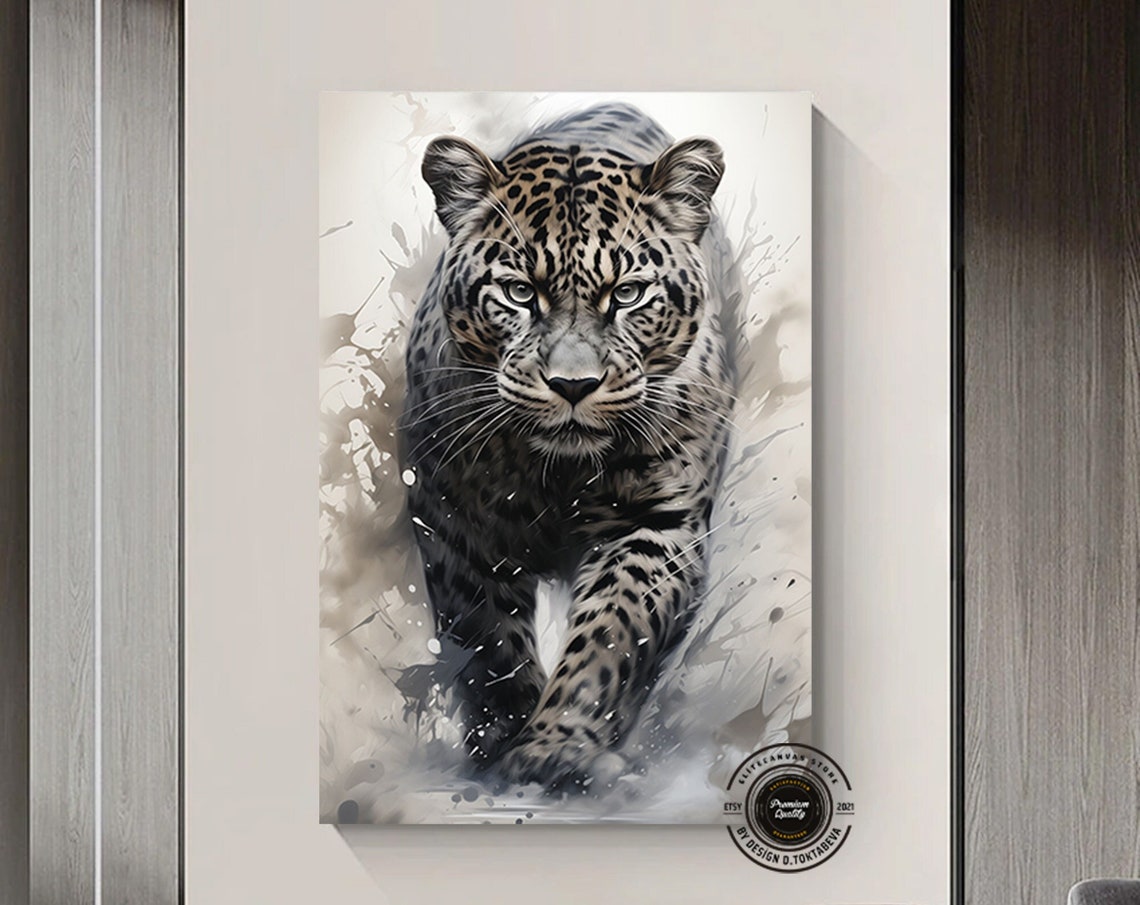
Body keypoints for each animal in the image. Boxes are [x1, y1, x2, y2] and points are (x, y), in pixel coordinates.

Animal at [398, 102, 739, 791]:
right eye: (520, 293)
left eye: (628, 294)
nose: (574, 385)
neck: (558, 475)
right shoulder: (454, 524)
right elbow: (488, 640)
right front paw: (503, 740)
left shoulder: (658, 524)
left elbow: (611, 632)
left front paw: (556, 746)